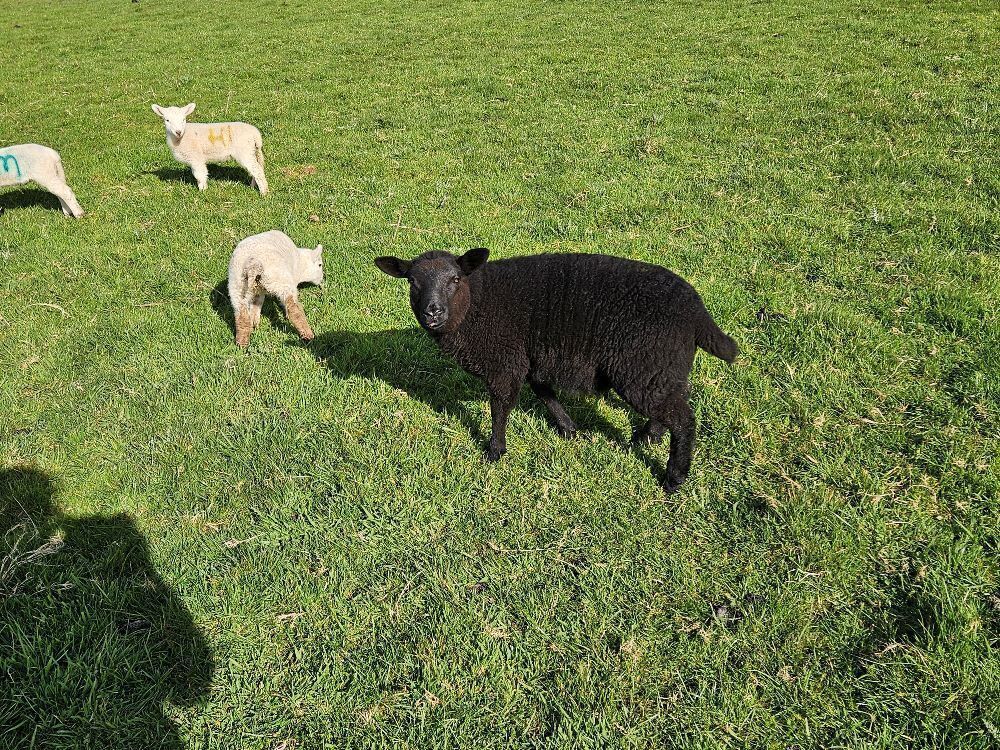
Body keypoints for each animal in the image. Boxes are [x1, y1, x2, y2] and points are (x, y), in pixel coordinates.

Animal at [374, 249, 738, 493]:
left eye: (454, 279)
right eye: (412, 282)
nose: (432, 312)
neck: (477, 304)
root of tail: (697, 311)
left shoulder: (505, 363)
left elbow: (500, 408)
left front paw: (494, 452)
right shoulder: (532, 359)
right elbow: (543, 392)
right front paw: (569, 429)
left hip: (643, 367)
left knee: (684, 420)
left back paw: (674, 478)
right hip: (661, 369)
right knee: (674, 403)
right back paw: (649, 436)